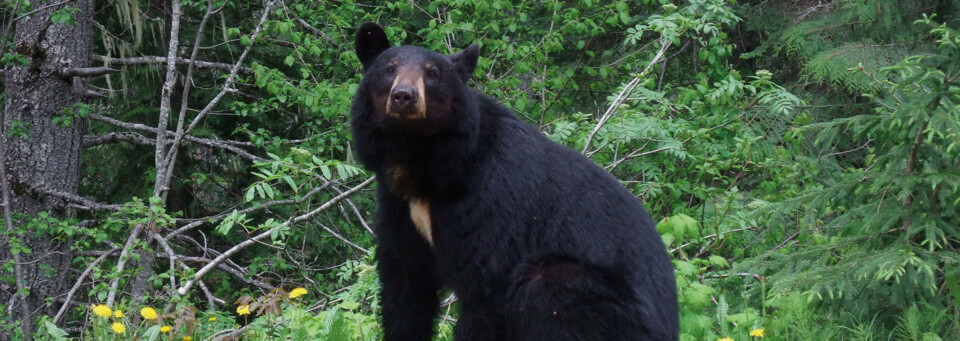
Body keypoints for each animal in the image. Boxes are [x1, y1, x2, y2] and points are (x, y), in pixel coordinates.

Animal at [350, 21, 676, 340]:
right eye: (389, 69)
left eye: (432, 74)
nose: (404, 96)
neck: (423, 161)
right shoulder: (398, 207)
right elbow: (405, 286)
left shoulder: (490, 204)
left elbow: (485, 287)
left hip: (598, 302)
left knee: (545, 287)